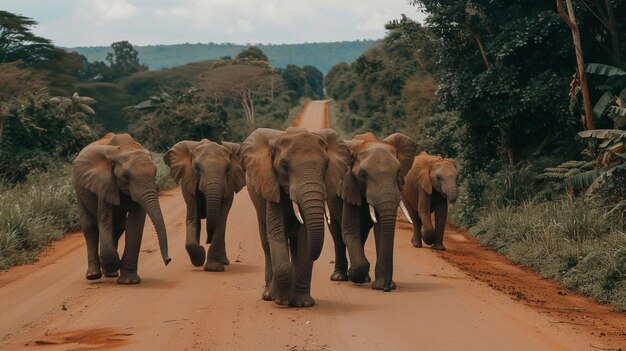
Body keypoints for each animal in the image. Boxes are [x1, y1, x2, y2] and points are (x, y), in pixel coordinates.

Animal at [71, 133, 171, 284]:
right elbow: (105, 220)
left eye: (155, 173)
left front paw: (129, 281)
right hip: (79, 192)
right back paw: (94, 275)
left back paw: (110, 273)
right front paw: (115, 264)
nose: (168, 260)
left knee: (118, 228)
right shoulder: (104, 182)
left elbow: (134, 225)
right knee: (90, 228)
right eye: (125, 176)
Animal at [163, 140, 244, 272]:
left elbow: (220, 221)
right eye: (196, 168)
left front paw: (213, 268)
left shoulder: (229, 186)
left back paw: (224, 262)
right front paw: (200, 257)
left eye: (228, 169)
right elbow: (193, 219)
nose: (207, 241)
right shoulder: (189, 185)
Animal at [239, 128, 348, 306]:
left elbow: (304, 241)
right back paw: (268, 295)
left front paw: (303, 303)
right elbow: (277, 234)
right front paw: (280, 300)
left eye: (326, 165)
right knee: (266, 243)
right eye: (284, 166)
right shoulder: (272, 186)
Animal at [324, 132, 416, 292]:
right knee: (337, 235)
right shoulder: (349, 185)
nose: (387, 289)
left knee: (363, 234)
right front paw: (355, 275)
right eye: (362, 174)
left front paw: (378, 285)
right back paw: (339, 277)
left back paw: (365, 278)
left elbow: (381, 232)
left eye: (398, 173)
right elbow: (349, 230)